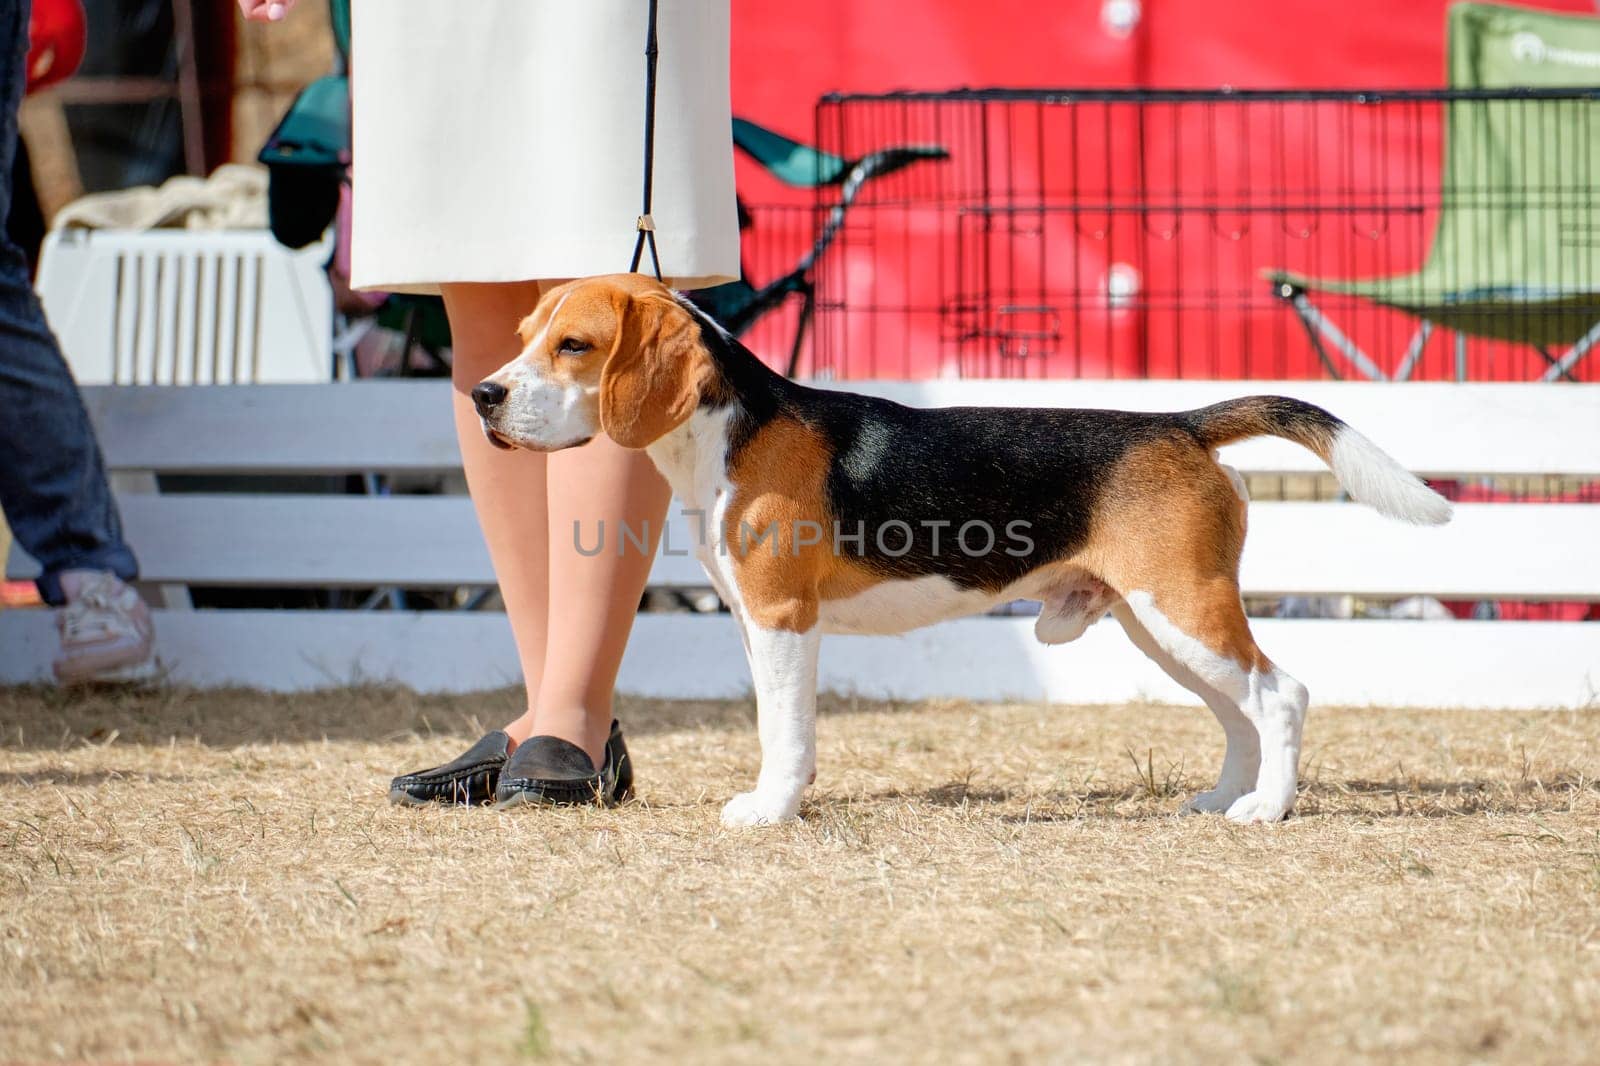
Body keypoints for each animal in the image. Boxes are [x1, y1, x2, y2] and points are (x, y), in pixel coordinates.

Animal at [467, 272, 1459, 819]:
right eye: (523, 340)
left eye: (575, 345)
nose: (482, 396)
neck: (728, 429)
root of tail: (1179, 421)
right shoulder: (752, 623)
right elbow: (772, 722)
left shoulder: (784, 620)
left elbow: (785, 731)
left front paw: (773, 809)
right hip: (1159, 623)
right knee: (1239, 712)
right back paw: (1228, 797)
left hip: (1183, 609)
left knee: (1281, 694)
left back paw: (1268, 811)